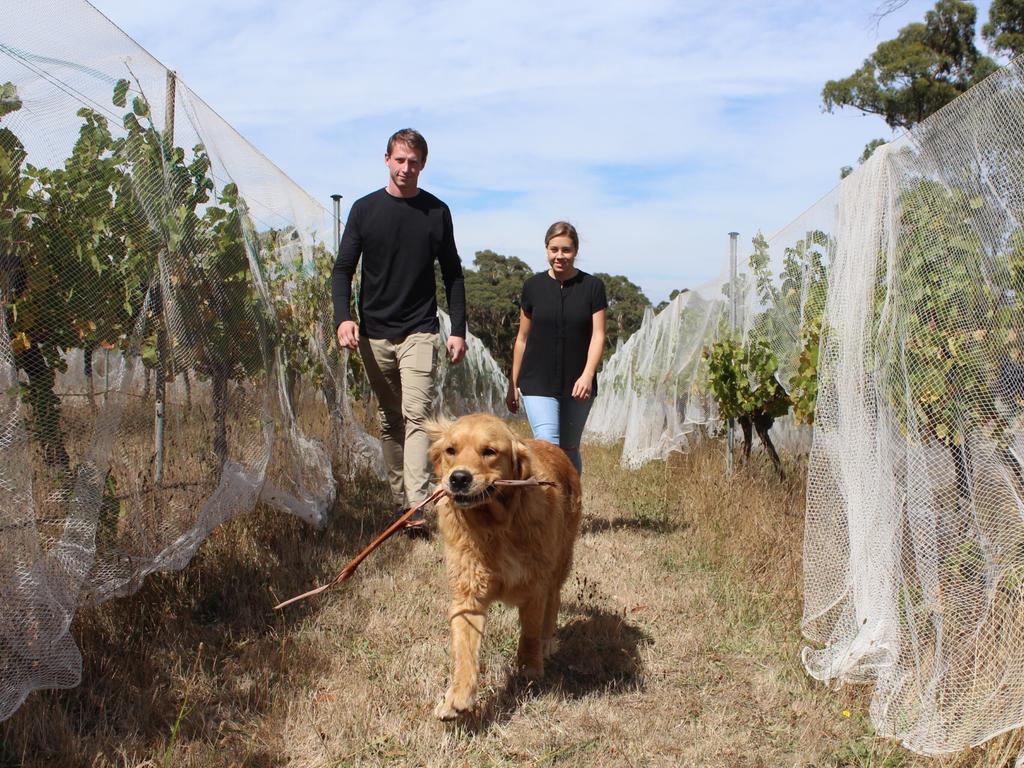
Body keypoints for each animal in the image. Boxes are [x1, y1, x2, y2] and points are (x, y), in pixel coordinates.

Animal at [425, 415, 585, 720]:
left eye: (489, 451)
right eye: (451, 450)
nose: (458, 478)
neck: (495, 524)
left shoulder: (535, 586)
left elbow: (530, 633)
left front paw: (530, 667)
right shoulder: (468, 595)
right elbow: (465, 652)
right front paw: (458, 696)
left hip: (560, 561)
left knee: (554, 601)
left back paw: (548, 642)